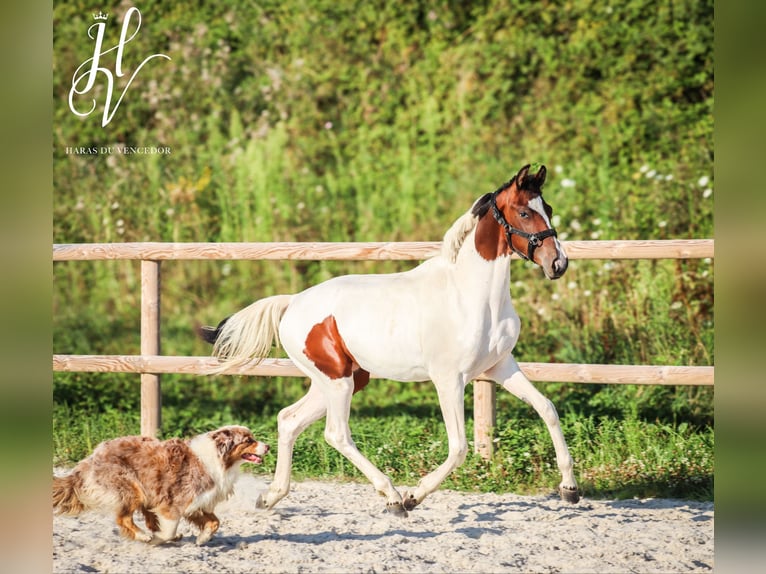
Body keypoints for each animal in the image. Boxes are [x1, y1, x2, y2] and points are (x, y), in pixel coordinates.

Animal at [53, 426, 270, 548]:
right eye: (248, 441)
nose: (268, 446)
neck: (220, 459)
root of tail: (90, 459)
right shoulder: (175, 503)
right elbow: (170, 529)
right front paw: (158, 540)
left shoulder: (199, 503)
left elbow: (215, 522)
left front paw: (202, 539)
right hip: (132, 488)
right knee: (124, 519)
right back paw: (144, 536)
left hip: (147, 490)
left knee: (146, 515)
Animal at [201, 163, 580, 516]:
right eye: (524, 213)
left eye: (547, 206)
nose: (558, 263)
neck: (470, 295)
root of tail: (292, 302)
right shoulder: (449, 379)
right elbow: (458, 447)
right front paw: (415, 495)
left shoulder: (500, 366)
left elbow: (547, 409)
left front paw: (570, 489)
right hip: (337, 381)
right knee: (336, 433)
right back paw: (394, 497)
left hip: (343, 380)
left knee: (289, 419)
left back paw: (270, 497)